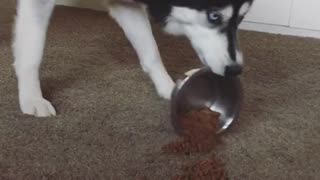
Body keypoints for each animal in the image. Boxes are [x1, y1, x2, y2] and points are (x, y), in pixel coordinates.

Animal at [12, 0, 252, 117]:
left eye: (242, 18)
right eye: (214, 16)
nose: (236, 70)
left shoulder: (125, 4)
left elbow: (151, 51)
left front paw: (168, 88)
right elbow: (32, 52)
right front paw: (32, 98)